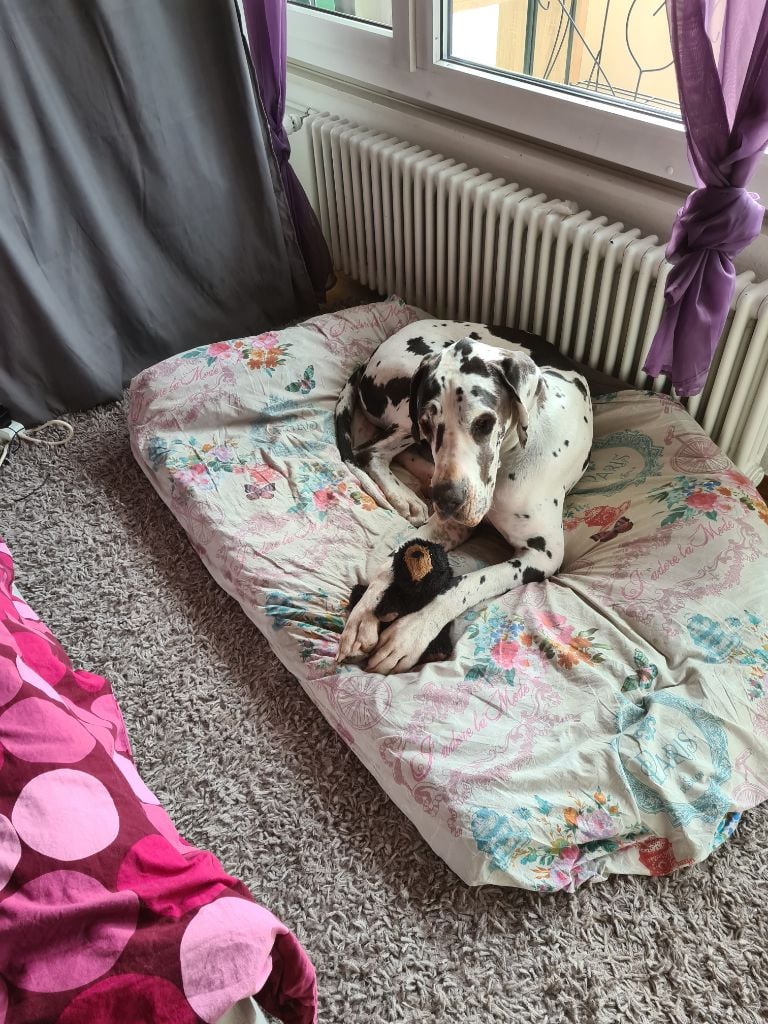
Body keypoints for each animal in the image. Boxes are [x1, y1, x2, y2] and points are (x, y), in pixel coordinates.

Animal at [335, 320, 594, 674]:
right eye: (429, 422)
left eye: (485, 423)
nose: (446, 500)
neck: (509, 458)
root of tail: (371, 356)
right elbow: (395, 559)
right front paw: (363, 613)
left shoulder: (543, 555)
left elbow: (467, 583)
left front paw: (411, 632)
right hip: (406, 413)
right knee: (371, 452)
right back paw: (408, 495)